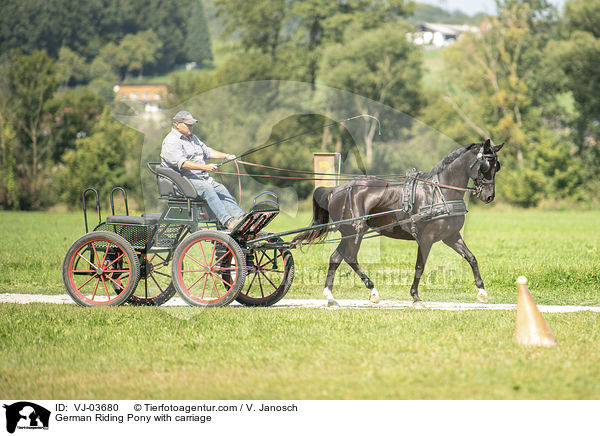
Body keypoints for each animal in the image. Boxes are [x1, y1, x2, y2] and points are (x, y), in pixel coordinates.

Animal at [292, 140, 504, 306]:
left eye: (497, 167)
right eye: (485, 166)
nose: (489, 196)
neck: (440, 192)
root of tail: (336, 190)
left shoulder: (451, 236)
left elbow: (471, 258)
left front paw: (482, 293)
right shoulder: (426, 238)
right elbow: (420, 266)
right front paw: (416, 297)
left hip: (348, 233)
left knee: (336, 258)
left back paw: (330, 296)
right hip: (356, 231)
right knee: (350, 257)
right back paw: (372, 291)